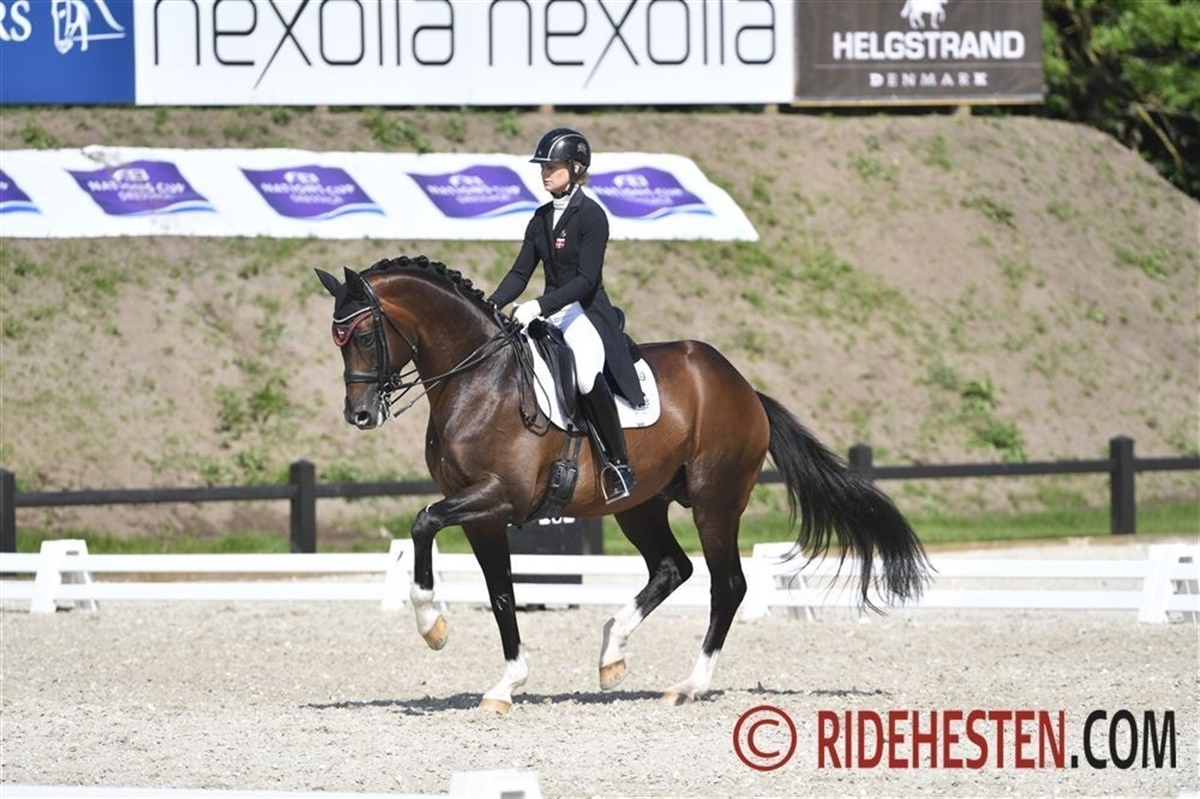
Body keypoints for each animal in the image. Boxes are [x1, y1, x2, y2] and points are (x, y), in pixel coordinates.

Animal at [316, 255, 930, 712]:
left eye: (364, 336)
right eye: (337, 339)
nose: (360, 415)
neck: (478, 379)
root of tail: (743, 387)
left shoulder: (498, 498)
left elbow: (423, 522)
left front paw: (432, 627)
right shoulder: (483, 515)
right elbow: (501, 594)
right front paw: (505, 685)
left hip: (715, 501)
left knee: (727, 585)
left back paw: (688, 686)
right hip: (639, 504)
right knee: (672, 568)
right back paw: (612, 650)